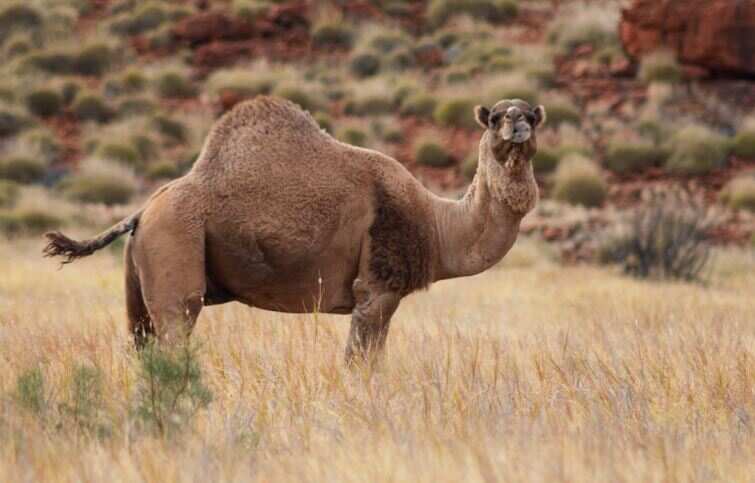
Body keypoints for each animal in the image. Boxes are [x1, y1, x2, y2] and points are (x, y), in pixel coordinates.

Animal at [44, 96, 546, 363]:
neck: (436, 225)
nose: (517, 125)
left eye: (531, 115)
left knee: (140, 341)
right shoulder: (377, 290)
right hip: (175, 248)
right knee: (174, 332)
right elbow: (360, 364)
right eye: (496, 116)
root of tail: (144, 209)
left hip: (138, 278)